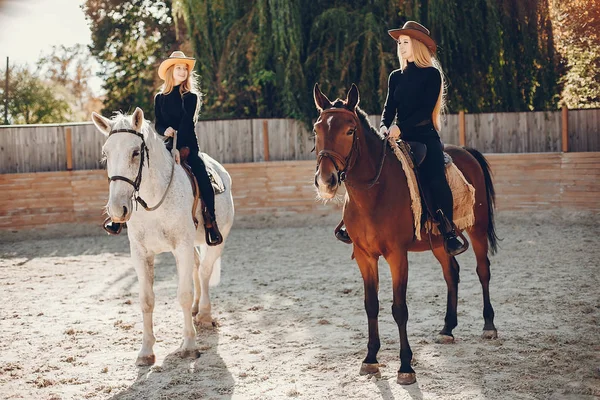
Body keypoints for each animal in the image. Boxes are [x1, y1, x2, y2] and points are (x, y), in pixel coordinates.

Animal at [91, 107, 234, 366]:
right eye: (106, 154)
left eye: (135, 152)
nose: (117, 210)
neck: (155, 200)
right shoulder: (140, 253)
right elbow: (146, 300)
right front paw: (146, 351)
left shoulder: (182, 247)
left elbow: (184, 295)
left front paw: (189, 346)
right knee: (197, 269)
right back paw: (197, 310)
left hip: (217, 241)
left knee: (204, 272)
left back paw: (204, 314)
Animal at [312, 83, 500, 384]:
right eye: (317, 129)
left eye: (350, 131)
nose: (326, 181)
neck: (374, 192)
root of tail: (466, 151)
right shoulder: (365, 256)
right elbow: (371, 305)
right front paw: (370, 359)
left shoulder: (397, 256)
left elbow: (399, 309)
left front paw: (405, 366)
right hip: (439, 243)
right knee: (452, 273)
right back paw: (448, 328)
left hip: (478, 229)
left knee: (483, 271)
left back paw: (489, 325)